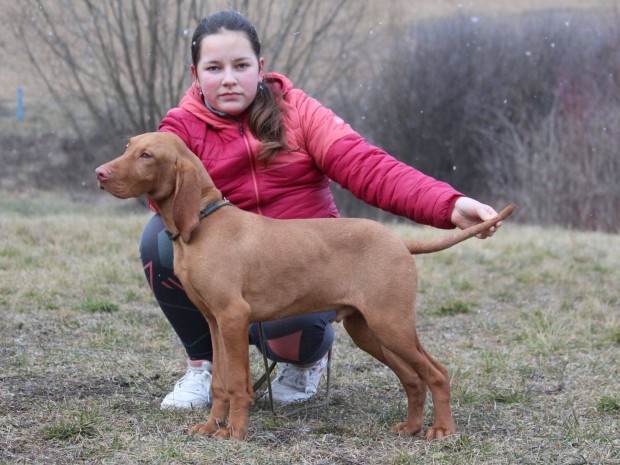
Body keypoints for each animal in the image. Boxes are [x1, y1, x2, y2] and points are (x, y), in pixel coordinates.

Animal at [95, 130, 512, 438]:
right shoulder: (214, 322)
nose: (100, 173)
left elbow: (239, 384)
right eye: (128, 147)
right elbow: (220, 384)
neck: (203, 223)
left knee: (436, 373)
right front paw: (212, 426)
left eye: (147, 155)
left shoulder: (233, 317)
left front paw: (236, 433)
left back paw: (442, 430)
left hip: (391, 324)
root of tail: (399, 241)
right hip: (368, 329)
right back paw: (410, 427)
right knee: (413, 378)